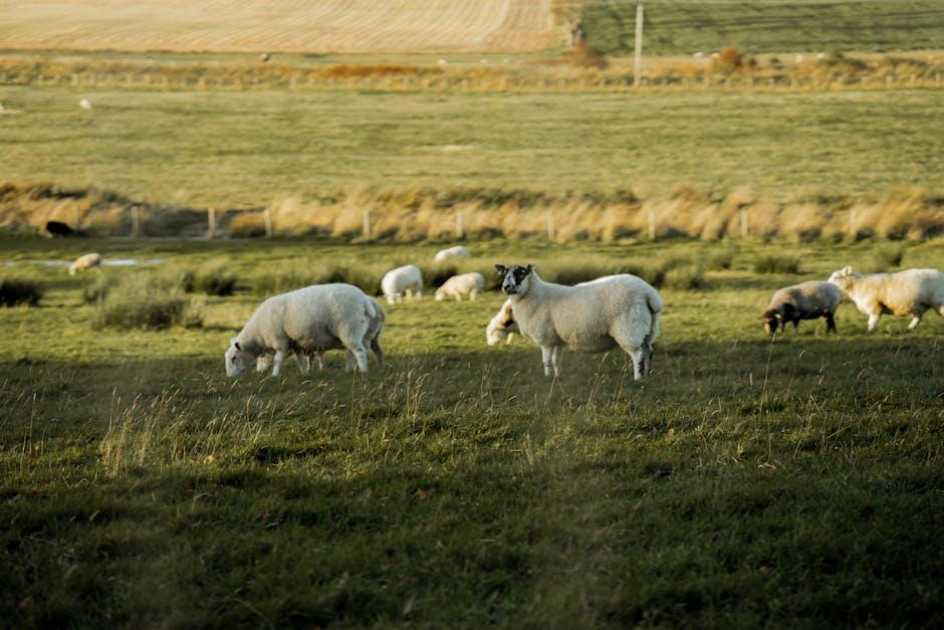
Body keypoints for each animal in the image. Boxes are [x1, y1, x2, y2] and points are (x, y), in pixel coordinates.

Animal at [225, 286, 384, 380]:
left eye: (234, 358)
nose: (229, 377)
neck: (258, 334)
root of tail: (363, 299)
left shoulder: (281, 341)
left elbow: (277, 360)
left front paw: (275, 375)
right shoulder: (295, 344)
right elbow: (300, 360)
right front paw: (304, 373)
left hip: (350, 328)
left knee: (359, 352)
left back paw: (363, 371)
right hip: (358, 333)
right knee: (357, 352)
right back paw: (351, 370)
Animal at [494, 266, 664, 382]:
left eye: (520, 273)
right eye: (505, 274)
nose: (506, 287)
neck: (534, 295)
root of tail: (649, 294)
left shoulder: (546, 339)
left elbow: (546, 361)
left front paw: (547, 377)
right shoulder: (556, 339)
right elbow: (555, 360)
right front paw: (557, 377)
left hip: (629, 328)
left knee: (638, 355)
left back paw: (637, 378)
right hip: (647, 329)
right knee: (648, 351)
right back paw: (647, 375)